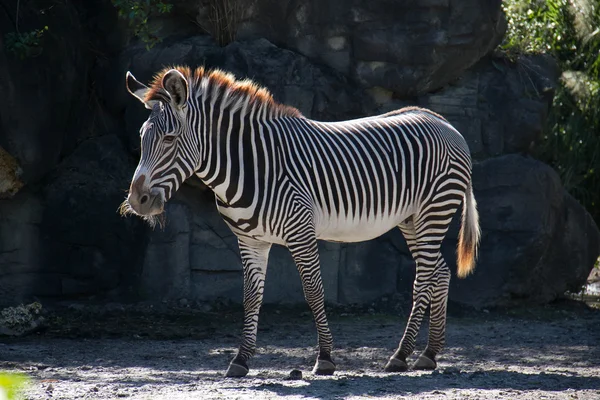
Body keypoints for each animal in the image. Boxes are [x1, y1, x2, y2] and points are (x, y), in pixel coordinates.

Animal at [119, 65, 480, 378]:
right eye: (141, 136)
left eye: (169, 139)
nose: (138, 201)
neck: (250, 166)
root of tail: (442, 121)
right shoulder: (250, 240)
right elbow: (251, 296)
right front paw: (241, 360)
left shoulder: (300, 231)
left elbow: (313, 290)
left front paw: (325, 358)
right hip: (412, 218)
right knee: (439, 272)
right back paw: (429, 353)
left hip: (434, 209)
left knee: (424, 279)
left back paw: (401, 355)